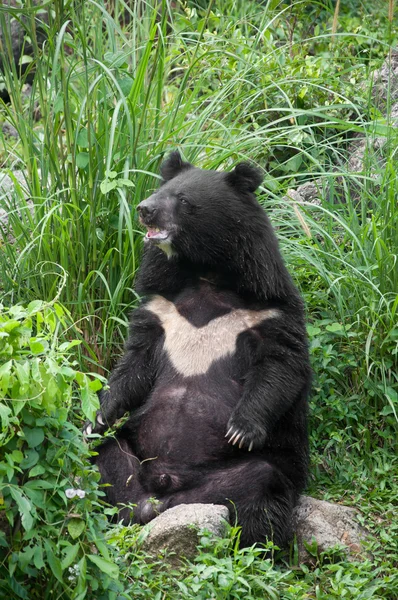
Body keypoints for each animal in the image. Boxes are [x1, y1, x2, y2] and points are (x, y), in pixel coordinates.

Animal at [86, 151, 310, 548]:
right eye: (159, 191)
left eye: (184, 201)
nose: (144, 209)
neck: (207, 274)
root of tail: (164, 492)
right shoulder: (159, 307)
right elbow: (133, 366)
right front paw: (101, 412)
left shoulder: (269, 312)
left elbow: (281, 365)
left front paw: (241, 429)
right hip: (131, 456)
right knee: (103, 451)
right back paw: (129, 508)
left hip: (245, 477)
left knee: (261, 488)